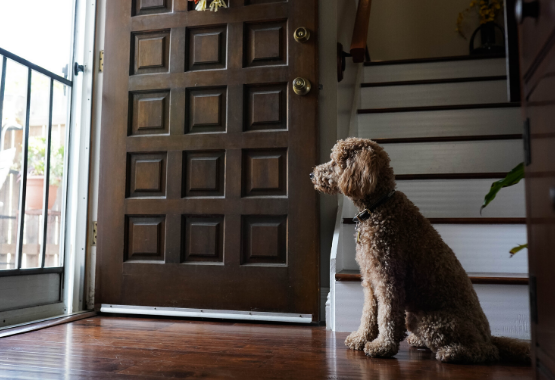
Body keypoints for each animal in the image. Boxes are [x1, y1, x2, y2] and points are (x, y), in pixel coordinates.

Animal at [310, 138, 532, 364]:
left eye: (335, 162)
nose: (311, 174)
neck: (379, 207)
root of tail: (489, 336)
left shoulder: (388, 278)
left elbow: (387, 315)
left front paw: (382, 346)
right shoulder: (370, 280)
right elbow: (369, 313)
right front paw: (361, 338)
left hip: (431, 320)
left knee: (485, 352)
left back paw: (451, 352)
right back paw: (419, 341)